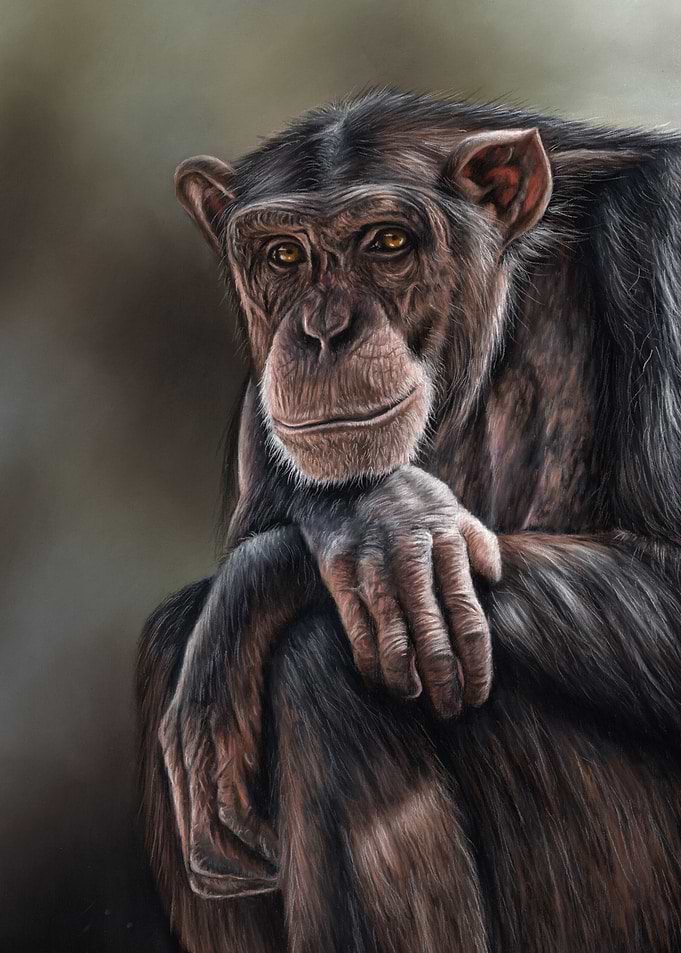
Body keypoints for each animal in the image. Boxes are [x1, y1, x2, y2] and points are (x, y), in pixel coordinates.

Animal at [136, 89, 681, 953]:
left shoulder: (661, 235)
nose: (323, 330)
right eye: (283, 256)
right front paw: (376, 515)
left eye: (386, 241)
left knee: (318, 654)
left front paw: (344, 549)